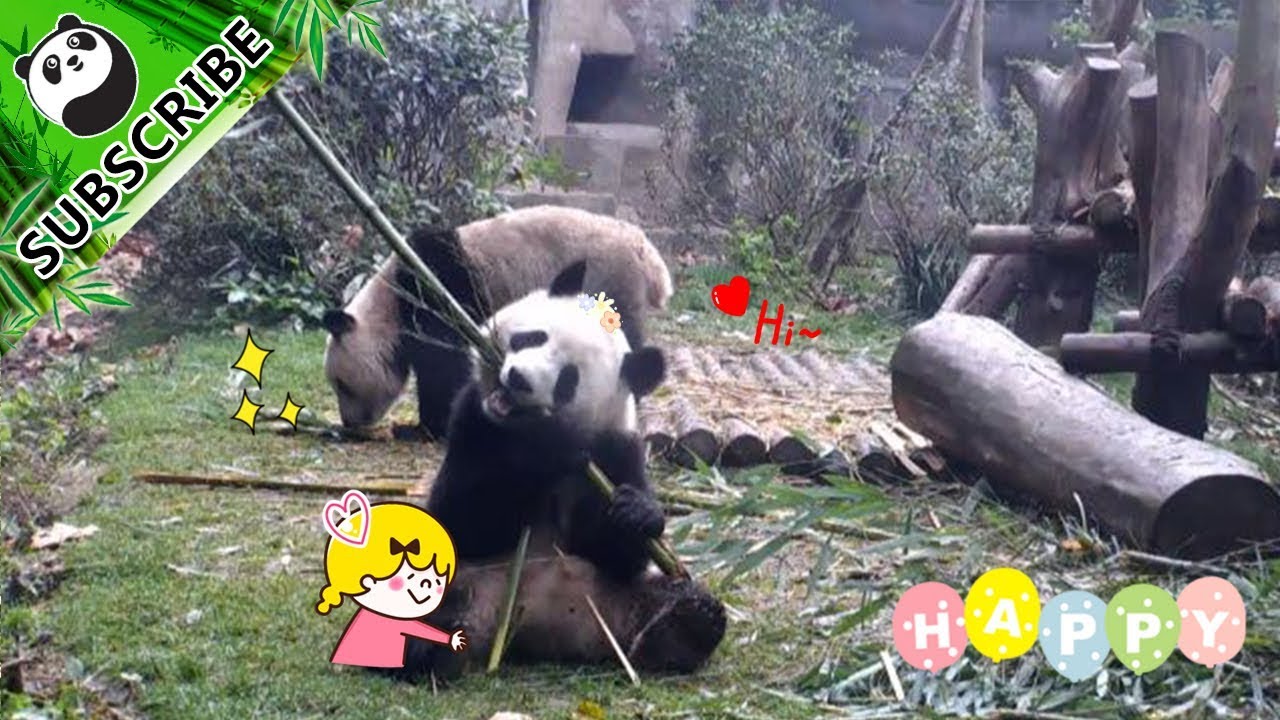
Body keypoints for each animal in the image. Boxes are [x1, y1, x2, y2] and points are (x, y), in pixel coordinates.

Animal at [323, 205, 673, 439]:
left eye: (343, 385)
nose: (350, 423)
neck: (389, 302)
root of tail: (647, 255)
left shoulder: (438, 283)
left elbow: (444, 361)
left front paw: (423, 428)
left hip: (611, 282)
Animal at [400, 260, 725, 678]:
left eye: (568, 380)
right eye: (532, 338)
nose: (519, 379)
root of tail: (536, 624)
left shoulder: (615, 450)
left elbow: (616, 554)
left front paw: (637, 512)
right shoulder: (473, 418)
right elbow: (464, 518)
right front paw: (544, 450)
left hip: (616, 598)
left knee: (678, 598)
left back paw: (683, 628)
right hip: (466, 580)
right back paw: (423, 647)